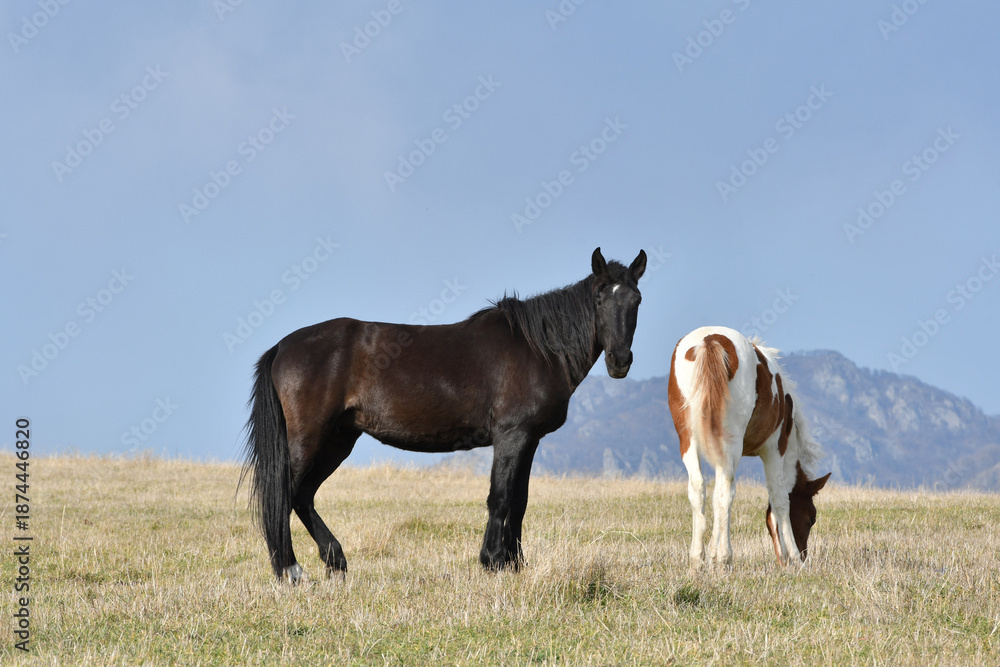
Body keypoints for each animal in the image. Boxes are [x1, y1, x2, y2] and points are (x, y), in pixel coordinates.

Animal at [241, 247, 647, 582]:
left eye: (637, 299)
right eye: (599, 297)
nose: (620, 361)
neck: (538, 348)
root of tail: (282, 346)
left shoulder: (529, 440)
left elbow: (519, 500)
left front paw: (516, 563)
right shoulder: (511, 435)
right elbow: (500, 497)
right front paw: (493, 561)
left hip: (338, 440)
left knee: (303, 495)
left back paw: (334, 562)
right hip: (310, 438)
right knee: (285, 494)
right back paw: (291, 570)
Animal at [667, 326, 831, 570]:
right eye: (811, 518)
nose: (802, 556)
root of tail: (710, 340)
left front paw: (711, 554)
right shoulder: (774, 448)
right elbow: (780, 498)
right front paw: (792, 557)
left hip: (689, 439)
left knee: (699, 488)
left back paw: (697, 561)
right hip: (731, 442)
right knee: (726, 491)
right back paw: (725, 558)